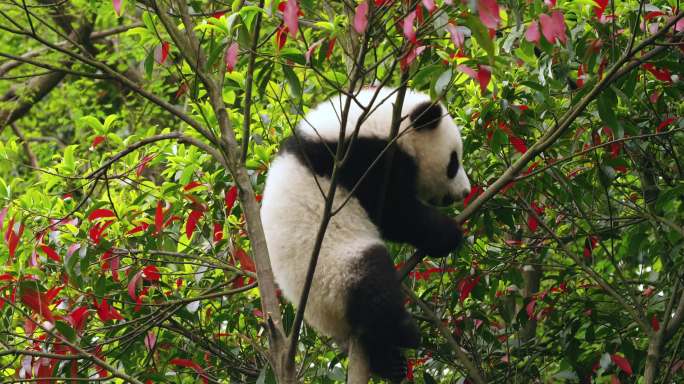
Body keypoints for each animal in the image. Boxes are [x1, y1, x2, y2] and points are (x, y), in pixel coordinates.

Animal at [260, 87, 470, 380]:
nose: (465, 192)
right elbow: (396, 213)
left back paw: (390, 363)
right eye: (453, 163)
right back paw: (405, 331)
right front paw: (447, 233)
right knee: (374, 289)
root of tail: (329, 318)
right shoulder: (361, 161)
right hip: (335, 272)